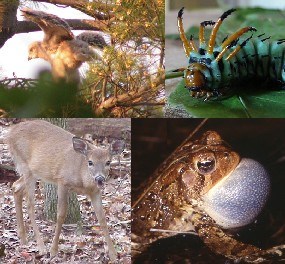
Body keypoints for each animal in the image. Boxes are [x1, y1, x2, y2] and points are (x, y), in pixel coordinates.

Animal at [5, 120, 121, 262]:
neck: (82, 180)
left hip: (34, 172)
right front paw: (53, 251)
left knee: (16, 186)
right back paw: (41, 247)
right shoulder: (62, 181)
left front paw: (113, 255)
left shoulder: (95, 192)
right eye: (90, 162)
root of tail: (10, 133)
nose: (99, 179)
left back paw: (23, 238)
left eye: (108, 162)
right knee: (30, 204)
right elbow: (60, 215)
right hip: (25, 165)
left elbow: (102, 218)